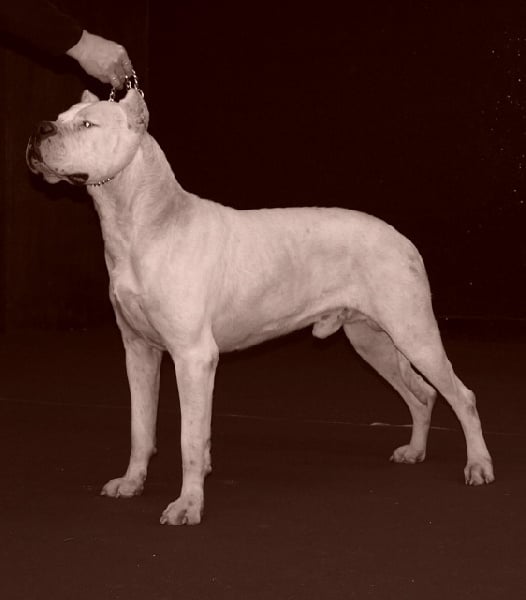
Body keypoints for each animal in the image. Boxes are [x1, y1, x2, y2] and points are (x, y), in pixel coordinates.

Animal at [26, 89, 494, 525]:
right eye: (61, 116)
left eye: (87, 124)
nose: (39, 129)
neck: (144, 223)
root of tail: (401, 238)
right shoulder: (139, 351)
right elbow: (141, 426)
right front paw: (132, 482)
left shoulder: (193, 357)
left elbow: (189, 439)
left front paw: (188, 505)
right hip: (372, 340)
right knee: (422, 394)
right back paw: (415, 451)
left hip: (414, 333)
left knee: (462, 395)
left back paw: (478, 465)